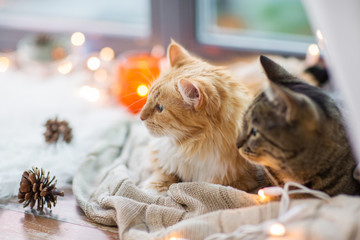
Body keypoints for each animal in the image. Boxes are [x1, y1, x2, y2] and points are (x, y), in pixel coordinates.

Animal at [139, 40, 266, 193]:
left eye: (160, 108)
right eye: (148, 98)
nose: (140, 117)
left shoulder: (240, 180)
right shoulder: (162, 156)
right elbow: (164, 172)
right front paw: (152, 188)